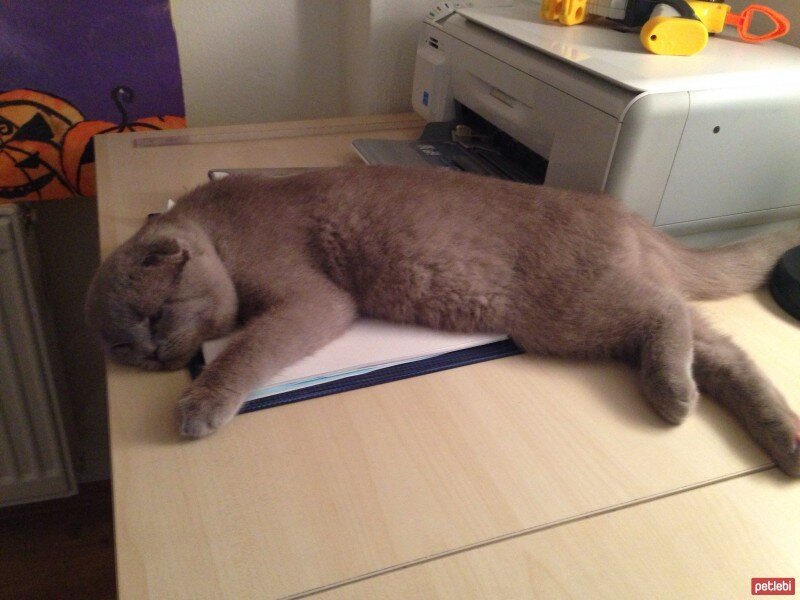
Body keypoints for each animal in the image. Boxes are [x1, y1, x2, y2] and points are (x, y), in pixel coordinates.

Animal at [87, 166, 800, 476]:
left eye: (156, 314)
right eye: (124, 345)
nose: (154, 356)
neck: (219, 226)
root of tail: (624, 213)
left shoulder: (313, 302)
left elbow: (248, 348)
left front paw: (200, 402)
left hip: (572, 310)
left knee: (668, 310)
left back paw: (675, 395)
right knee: (721, 349)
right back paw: (782, 438)